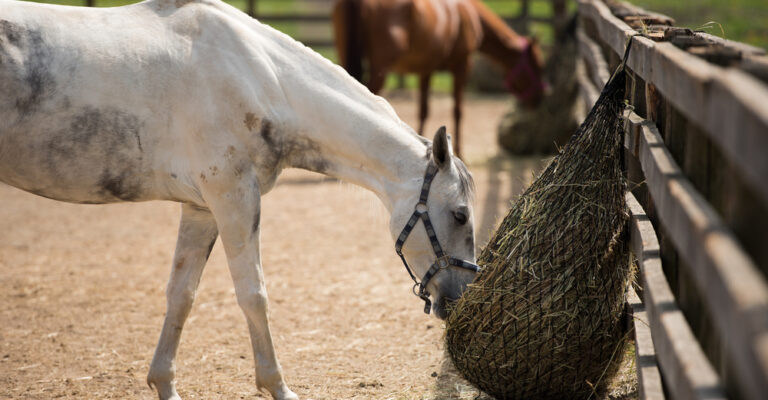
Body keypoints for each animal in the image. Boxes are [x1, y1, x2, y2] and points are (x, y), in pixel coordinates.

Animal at [0, 0, 480, 399]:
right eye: (460, 215)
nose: (460, 298)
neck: (261, 78)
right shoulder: (234, 198)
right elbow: (254, 295)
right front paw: (278, 387)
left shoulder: (201, 209)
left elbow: (182, 294)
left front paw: (164, 384)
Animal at [332, 0, 548, 158]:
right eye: (539, 66)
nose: (540, 98)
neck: (465, 13)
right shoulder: (462, 66)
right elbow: (458, 111)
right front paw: (459, 152)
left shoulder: (426, 70)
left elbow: (423, 111)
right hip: (381, 69)